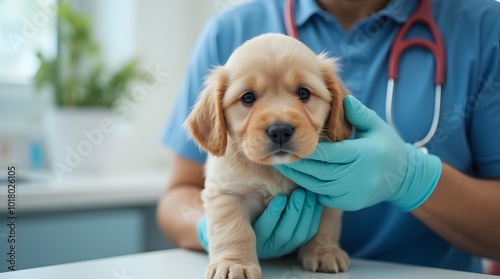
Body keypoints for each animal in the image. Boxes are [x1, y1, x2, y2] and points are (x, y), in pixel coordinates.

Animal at [186, 34, 354, 278]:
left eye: (303, 93)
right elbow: (234, 231)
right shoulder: (226, 194)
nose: (280, 130)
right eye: (247, 97)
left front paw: (325, 252)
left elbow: (326, 227)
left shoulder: (326, 192)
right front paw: (234, 264)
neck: (272, 169)